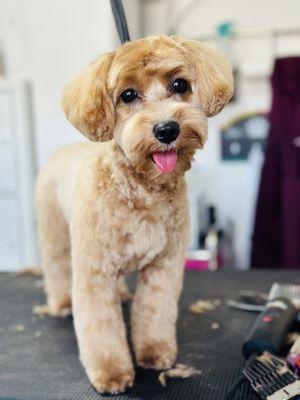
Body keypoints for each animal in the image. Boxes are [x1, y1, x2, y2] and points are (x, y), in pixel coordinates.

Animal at [35, 35, 234, 394]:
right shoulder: (94, 272)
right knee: (56, 267)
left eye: (180, 85)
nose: (167, 129)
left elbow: (154, 312)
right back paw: (61, 304)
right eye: (127, 95)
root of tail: (62, 151)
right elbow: (101, 324)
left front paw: (154, 353)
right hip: (54, 230)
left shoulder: (164, 267)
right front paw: (111, 372)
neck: (142, 190)